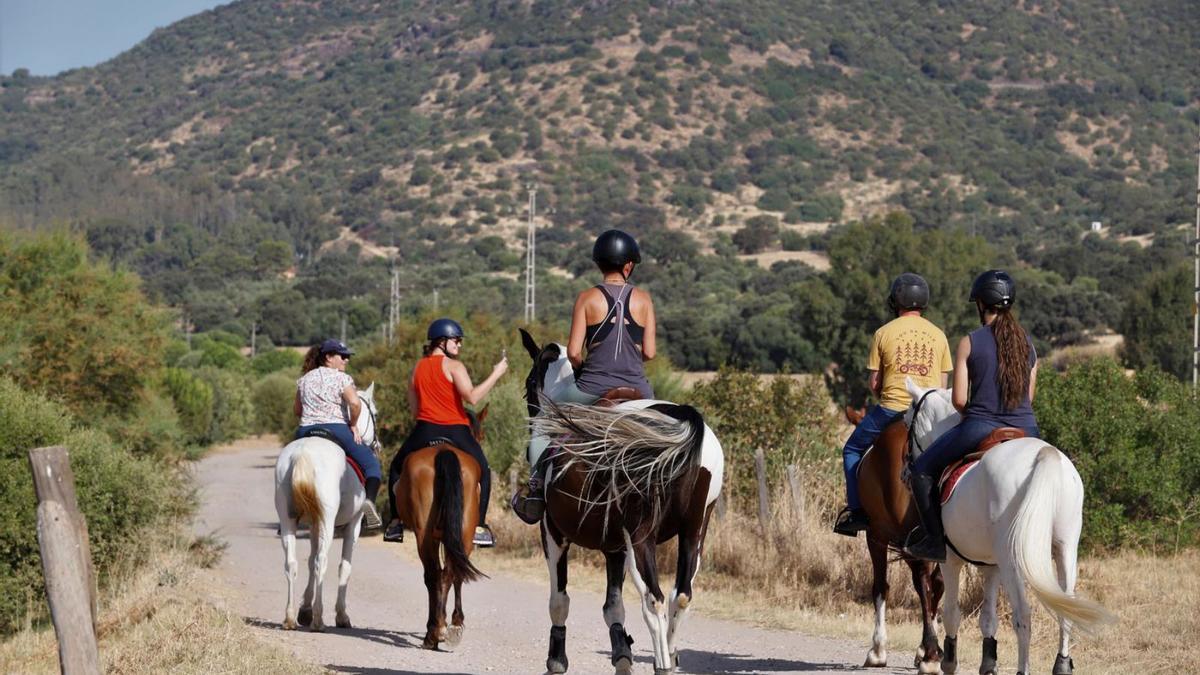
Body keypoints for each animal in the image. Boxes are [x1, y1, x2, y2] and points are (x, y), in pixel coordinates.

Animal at [274, 384, 376, 629]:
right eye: (375, 413)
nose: (376, 444)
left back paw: (290, 617)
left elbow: (310, 562)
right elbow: (344, 566)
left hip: (289, 520)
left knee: (291, 563)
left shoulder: (313, 524)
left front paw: (304, 611)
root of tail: (302, 454)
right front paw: (341, 615)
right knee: (322, 561)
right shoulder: (353, 524)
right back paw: (319, 619)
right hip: (328, 522)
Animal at [393, 403, 487, 648]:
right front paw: (453, 621)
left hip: (426, 535)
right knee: (449, 573)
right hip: (463, 532)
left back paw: (435, 632)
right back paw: (444, 629)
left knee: (434, 575)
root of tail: (443, 451)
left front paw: (442, 622)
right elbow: (454, 575)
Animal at [844, 401, 945, 667]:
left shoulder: (876, 535)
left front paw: (877, 651)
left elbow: (881, 586)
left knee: (923, 583)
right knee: (935, 583)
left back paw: (930, 652)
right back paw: (930, 650)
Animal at [907, 379, 1113, 672]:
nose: (905, 468)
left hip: (1012, 558)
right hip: (1065, 548)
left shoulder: (951, 561)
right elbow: (987, 619)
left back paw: (1022, 669)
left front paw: (947, 661)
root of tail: (1045, 455)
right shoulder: (991, 566)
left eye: (907, 421)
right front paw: (988, 664)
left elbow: (951, 613)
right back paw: (1061, 665)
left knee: (1023, 615)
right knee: (1066, 607)